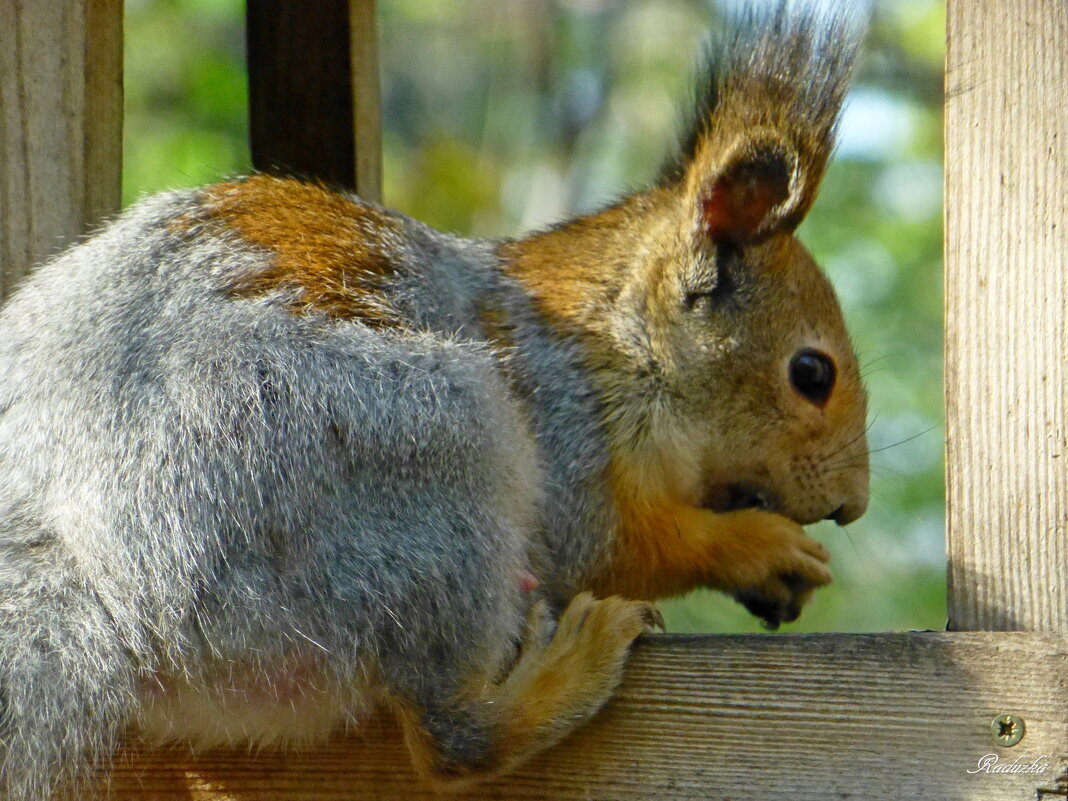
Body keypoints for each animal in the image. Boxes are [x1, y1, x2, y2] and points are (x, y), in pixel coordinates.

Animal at [0, 3, 867, 798]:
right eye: (811, 373)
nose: (852, 504)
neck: (617, 343)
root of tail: (101, 580)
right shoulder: (568, 432)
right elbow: (617, 547)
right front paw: (758, 547)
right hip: (424, 461)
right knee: (453, 737)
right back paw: (568, 669)